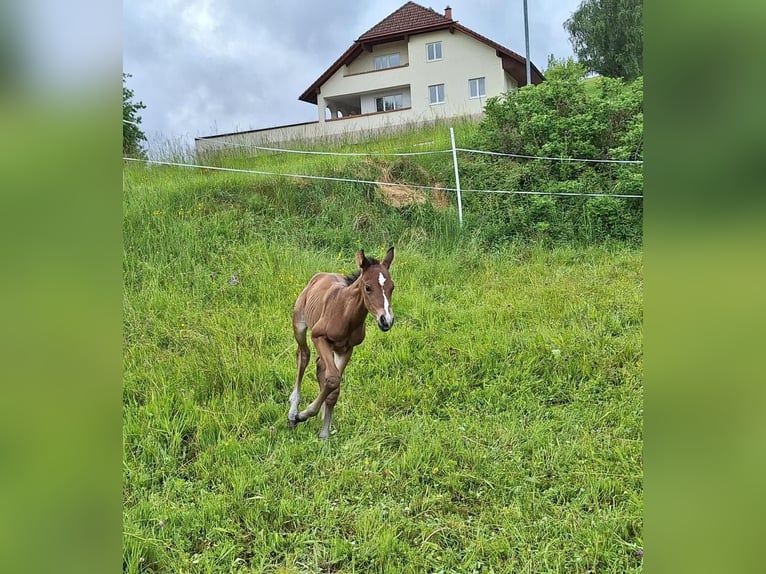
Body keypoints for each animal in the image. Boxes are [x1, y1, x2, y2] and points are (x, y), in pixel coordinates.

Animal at [288, 247, 395, 439]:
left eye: (392, 287)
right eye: (368, 287)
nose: (386, 321)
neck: (346, 313)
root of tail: (319, 275)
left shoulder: (347, 348)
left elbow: (334, 385)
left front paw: (324, 432)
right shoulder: (318, 336)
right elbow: (333, 378)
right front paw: (303, 414)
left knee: (320, 365)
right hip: (299, 324)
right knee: (304, 356)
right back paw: (293, 412)